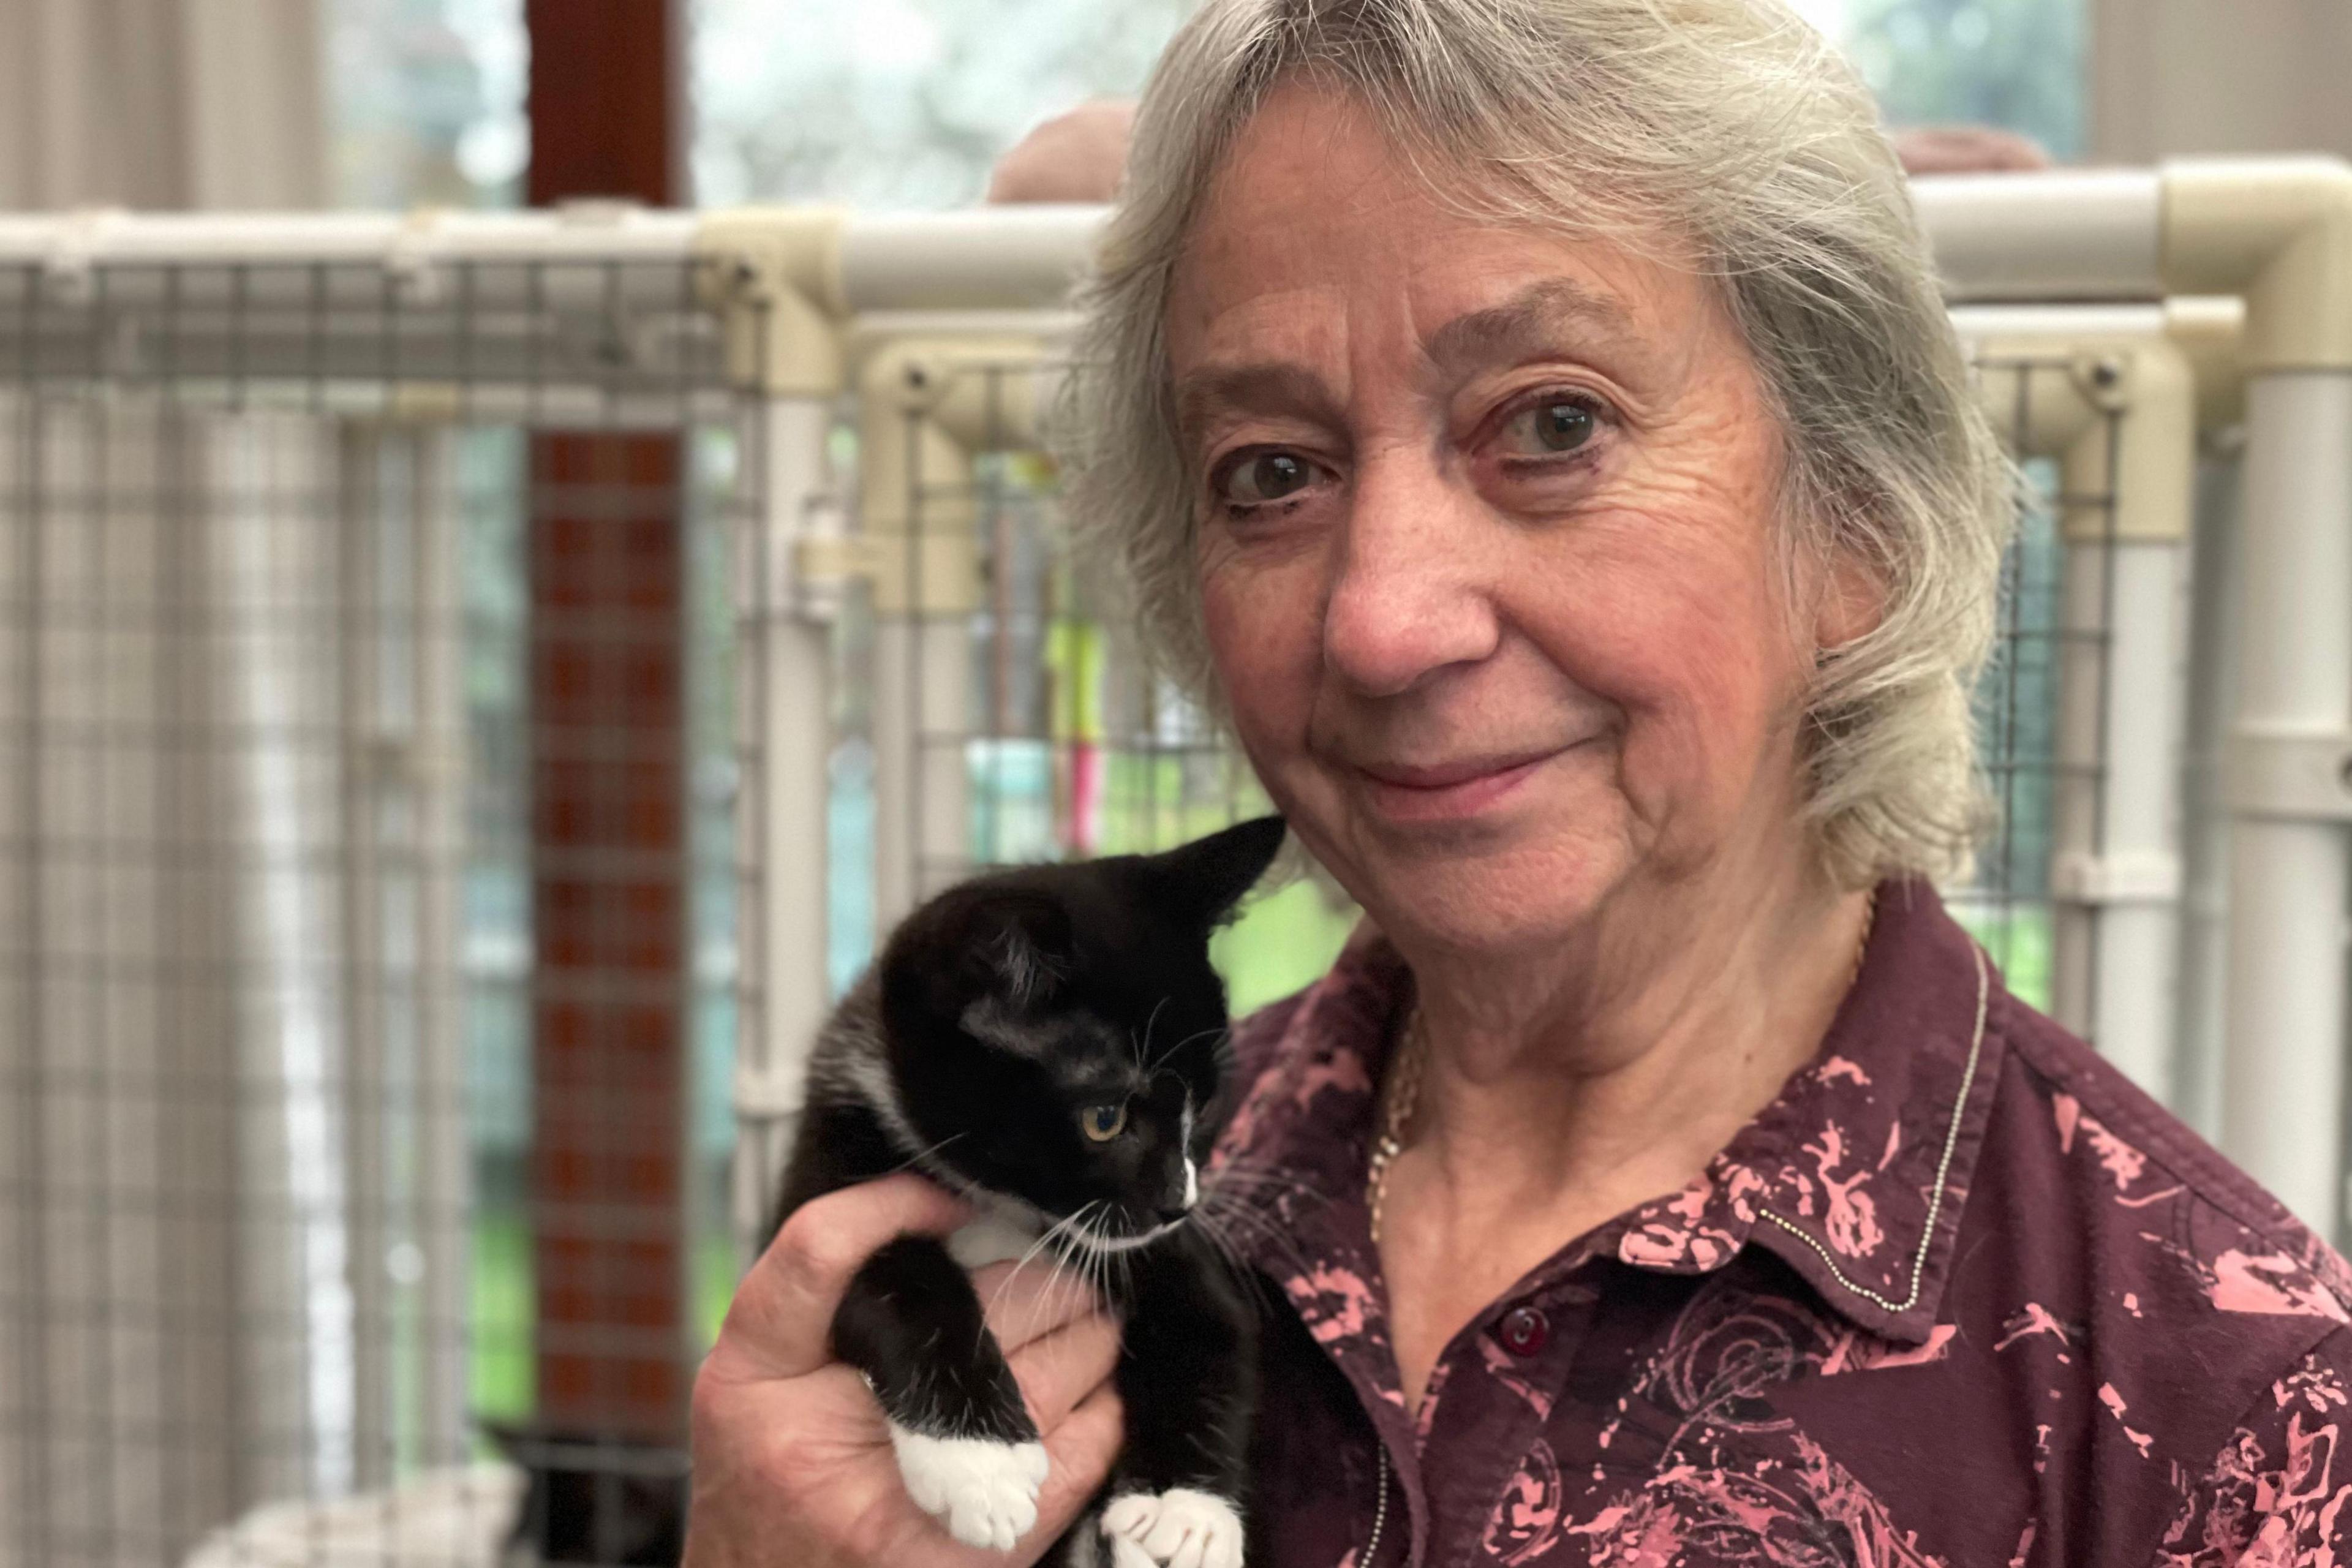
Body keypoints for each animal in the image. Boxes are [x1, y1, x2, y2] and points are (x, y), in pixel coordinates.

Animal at [776, 818, 1289, 1568]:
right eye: (1105, 1118)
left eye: (1209, 1099)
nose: (1179, 1204)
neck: (1004, 1206)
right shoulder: (820, 1198)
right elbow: (893, 1276)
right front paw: (980, 1462)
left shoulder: (1159, 1252)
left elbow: (1211, 1326)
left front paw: (1184, 1512)